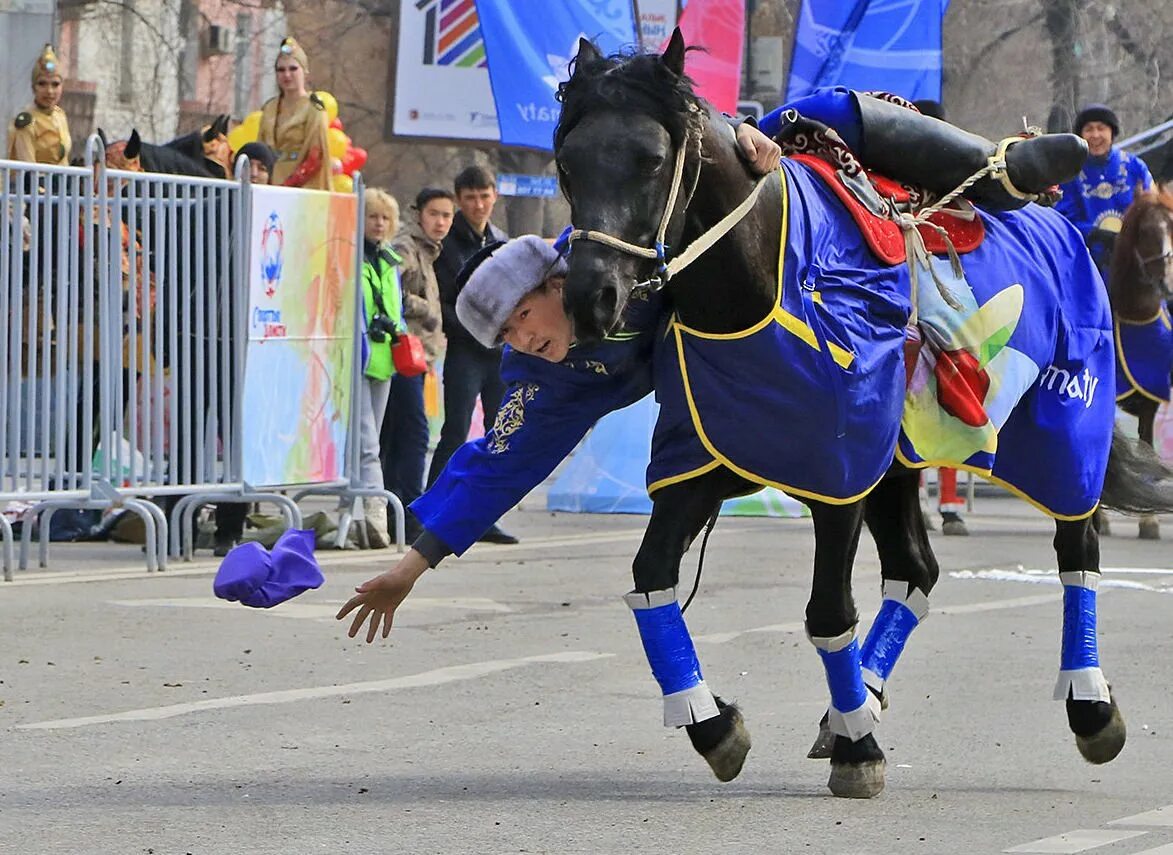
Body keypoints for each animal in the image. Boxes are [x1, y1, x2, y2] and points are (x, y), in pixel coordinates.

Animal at [551, 31, 1173, 792]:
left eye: (651, 160)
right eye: (567, 162)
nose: (591, 298)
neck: (768, 280)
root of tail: (1061, 226)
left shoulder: (838, 472)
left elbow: (827, 611)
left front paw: (858, 749)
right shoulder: (707, 460)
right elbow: (650, 578)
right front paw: (714, 724)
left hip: (1061, 428)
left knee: (1075, 552)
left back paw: (1089, 707)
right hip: (900, 461)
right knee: (916, 569)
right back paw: (859, 698)